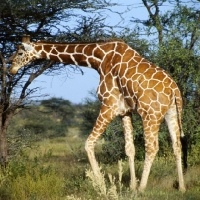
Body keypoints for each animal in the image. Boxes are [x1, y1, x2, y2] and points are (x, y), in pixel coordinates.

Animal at [9, 35, 188, 191]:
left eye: (20, 52)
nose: (11, 69)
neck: (99, 58)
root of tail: (174, 90)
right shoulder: (125, 111)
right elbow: (129, 148)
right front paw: (131, 185)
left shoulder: (109, 104)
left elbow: (88, 143)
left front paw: (101, 183)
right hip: (171, 113)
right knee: (176, 145)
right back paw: (181, 187)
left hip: (150, 115)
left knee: (152, 148)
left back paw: (142, 188)